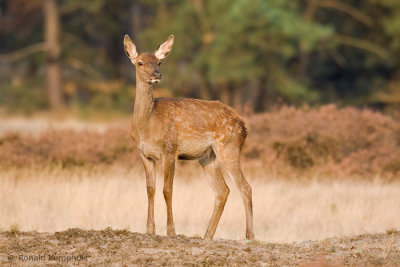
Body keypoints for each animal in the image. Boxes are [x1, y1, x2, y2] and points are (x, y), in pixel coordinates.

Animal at [123, 33, 255, 241]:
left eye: (159, 62)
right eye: (140, 62)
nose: (157, 75)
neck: (148, 124)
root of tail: (243, 126)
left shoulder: (169, 150)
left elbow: (167, 190)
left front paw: (171, 231)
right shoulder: (144, 154)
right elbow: (150, 189)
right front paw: (150, 229)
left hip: (229, 147)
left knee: (245, 188)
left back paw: (249, 236)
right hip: (208, 157)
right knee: (223, 191)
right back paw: (207, 235)